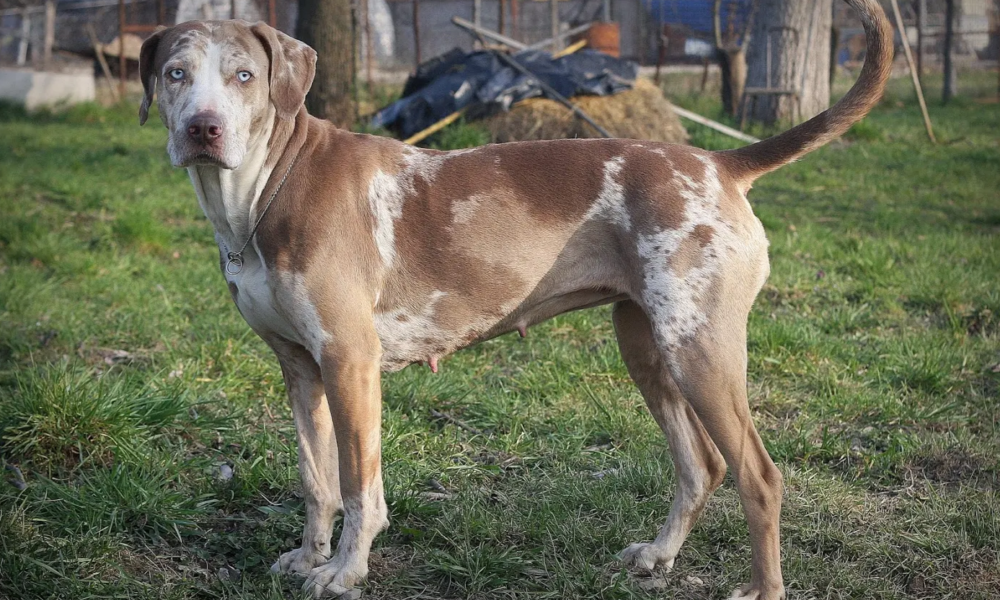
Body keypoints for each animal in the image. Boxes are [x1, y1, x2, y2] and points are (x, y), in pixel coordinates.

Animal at [139, 2, 892, 596]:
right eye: (176, 74)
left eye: (244, 77)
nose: (203, 128)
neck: (266, 189)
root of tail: (717, 162)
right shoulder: (300, 369)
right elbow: (314, 479)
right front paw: (308, 557)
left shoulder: (350, 363)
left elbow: (358, 486)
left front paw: (345, 572)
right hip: (647, 347)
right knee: (701, 465)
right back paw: (657, 555)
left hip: (700, 352)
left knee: (759, 476)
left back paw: (762, 588)